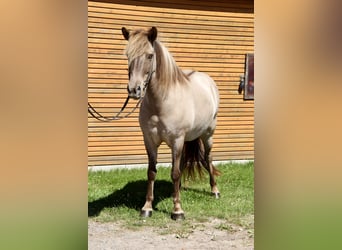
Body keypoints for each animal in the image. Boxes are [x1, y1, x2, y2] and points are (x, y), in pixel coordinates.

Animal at [121, 26, 220, 220]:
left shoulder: (176, 140)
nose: (134, 90)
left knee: (208, 158)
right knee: (181, 165)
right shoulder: (150, 141)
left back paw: (215, 191)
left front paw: (177, 210)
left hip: (208, 135)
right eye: (128, 55)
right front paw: (147, 207)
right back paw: (179, 189)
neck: (161, 102)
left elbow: (174, 173)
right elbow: (152, 172)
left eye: (150, 55)